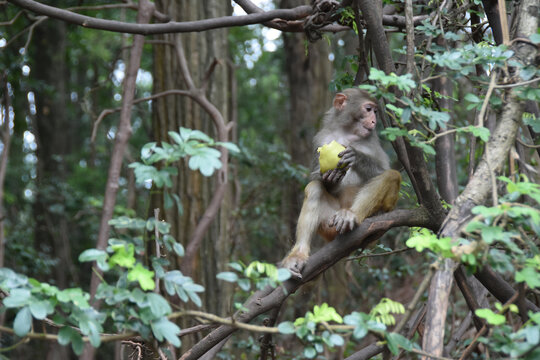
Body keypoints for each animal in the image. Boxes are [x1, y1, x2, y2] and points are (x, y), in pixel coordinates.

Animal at [282, 88, 400, 278]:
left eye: (375, 111)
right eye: (368, 109)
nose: (374, 121)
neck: (348, 132)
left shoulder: (372, 141)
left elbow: (383, 170)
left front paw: (357, 156)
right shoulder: (321, 139)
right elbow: (317, 179)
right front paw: (329, 178)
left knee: (391, 175)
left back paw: (351, 215)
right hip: (327, 224)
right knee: (314, 189)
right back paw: (298, 255)